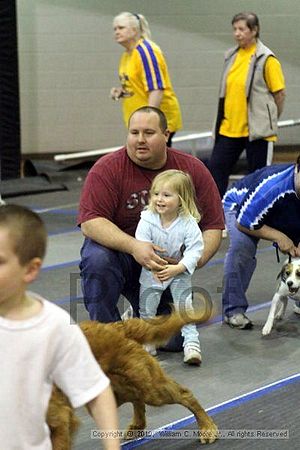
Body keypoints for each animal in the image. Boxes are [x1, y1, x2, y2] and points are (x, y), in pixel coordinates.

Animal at [48, 310, 219, 446]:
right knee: (137, 397)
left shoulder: (60, 419)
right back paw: (137, 426)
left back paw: (207, 428)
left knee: (184, 394)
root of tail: (114, 327)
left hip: (150, 389)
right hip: (115, 390)